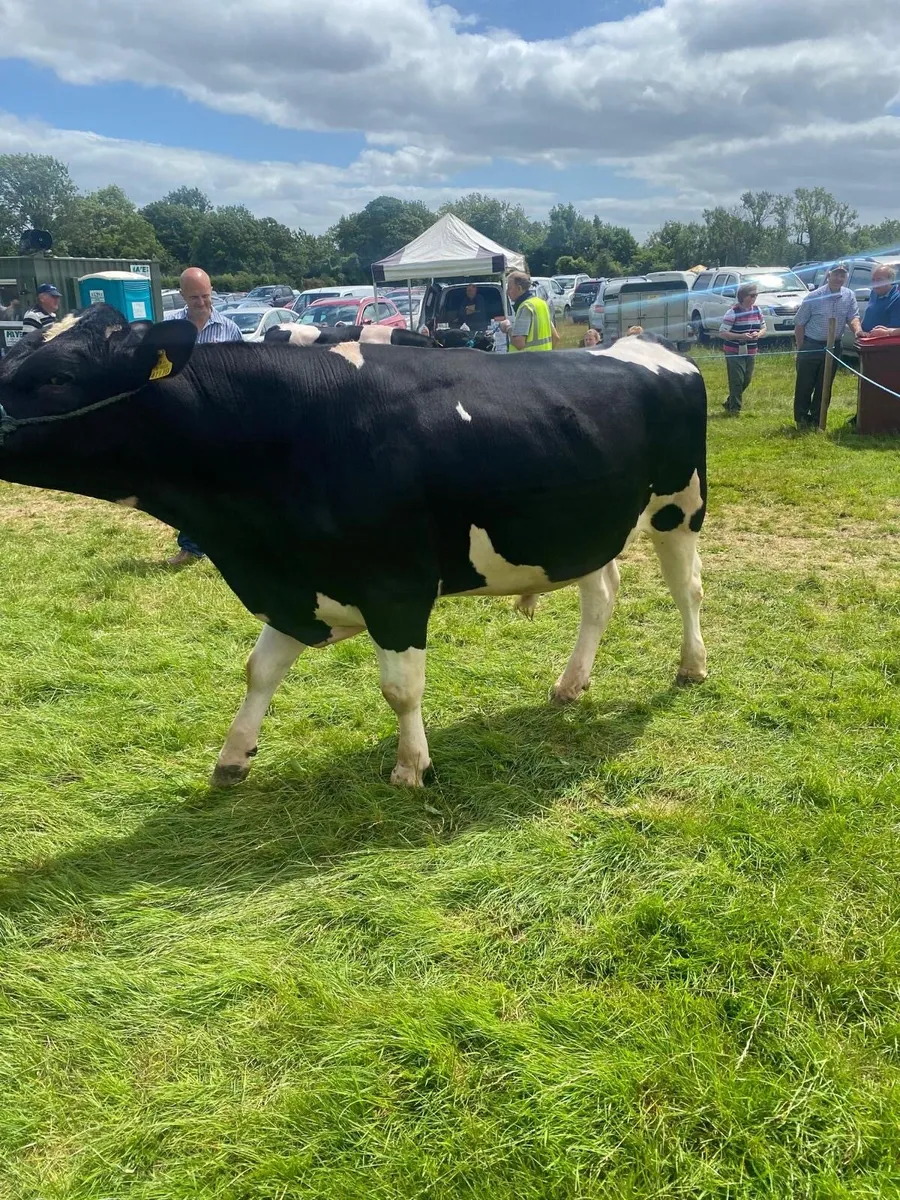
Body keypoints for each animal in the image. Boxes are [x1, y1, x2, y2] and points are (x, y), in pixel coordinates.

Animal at [0, 307, 710, 787]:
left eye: (56, 376)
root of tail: (648, 345)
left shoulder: (396, 586)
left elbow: (400, 687)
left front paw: (411, 766)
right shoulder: (300, 580)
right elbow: (259, 669)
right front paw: (233, 757)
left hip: (679, 509)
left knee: (688, 590)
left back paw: (691, 666)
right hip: (584, 528)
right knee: (601, 594)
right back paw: (570, 684)